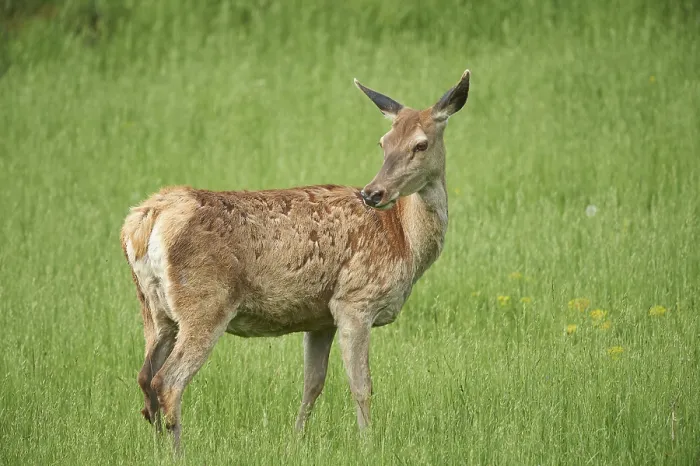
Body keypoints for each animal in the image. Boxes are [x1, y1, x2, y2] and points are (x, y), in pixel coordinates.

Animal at [120, 69, 470, 451]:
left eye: (420, 144)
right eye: (383, 142)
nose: (373, 193)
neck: (403, 240)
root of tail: (146, 220)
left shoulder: (320, 318)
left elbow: (312, 385)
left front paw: (296, 440)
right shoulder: (355, 300)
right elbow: (362, 386)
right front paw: (368, 444)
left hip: (154, 308)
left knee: (145, 377)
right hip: (205, 303)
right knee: (168, 381)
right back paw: (178, 451)